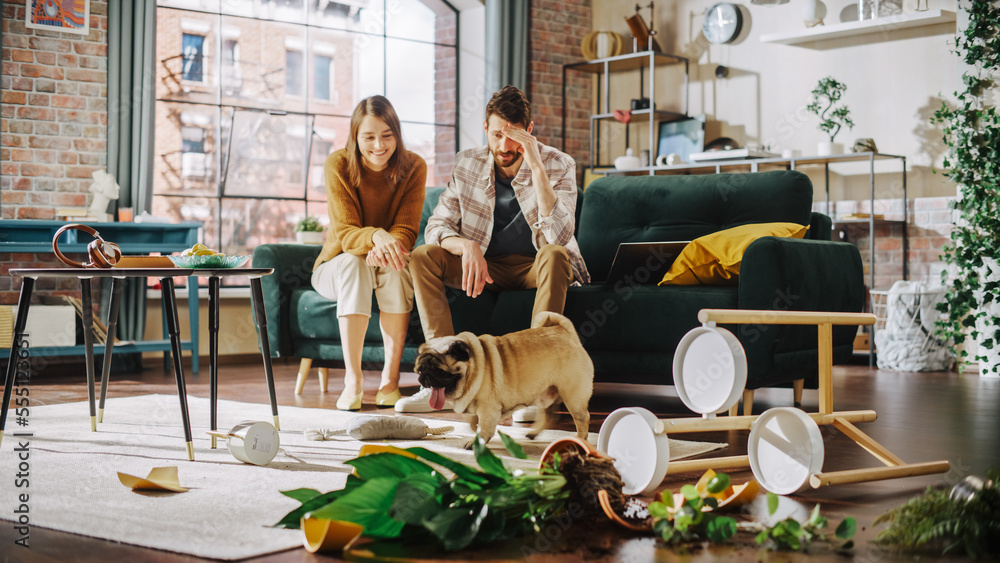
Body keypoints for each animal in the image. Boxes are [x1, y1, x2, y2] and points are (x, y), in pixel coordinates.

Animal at [414, 312, 592, 450]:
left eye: (440, 371)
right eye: (420, 370)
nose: (425, 378)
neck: (475, 366)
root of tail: (565, 332)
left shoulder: (488, 410)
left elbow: (483, 429)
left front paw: (475, 442)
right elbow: (472, 421)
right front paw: (472, 428)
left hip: (572, 396)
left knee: (582, 419)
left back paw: (580, 440)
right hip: (545, 393)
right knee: (549, 416)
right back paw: (533, 433)